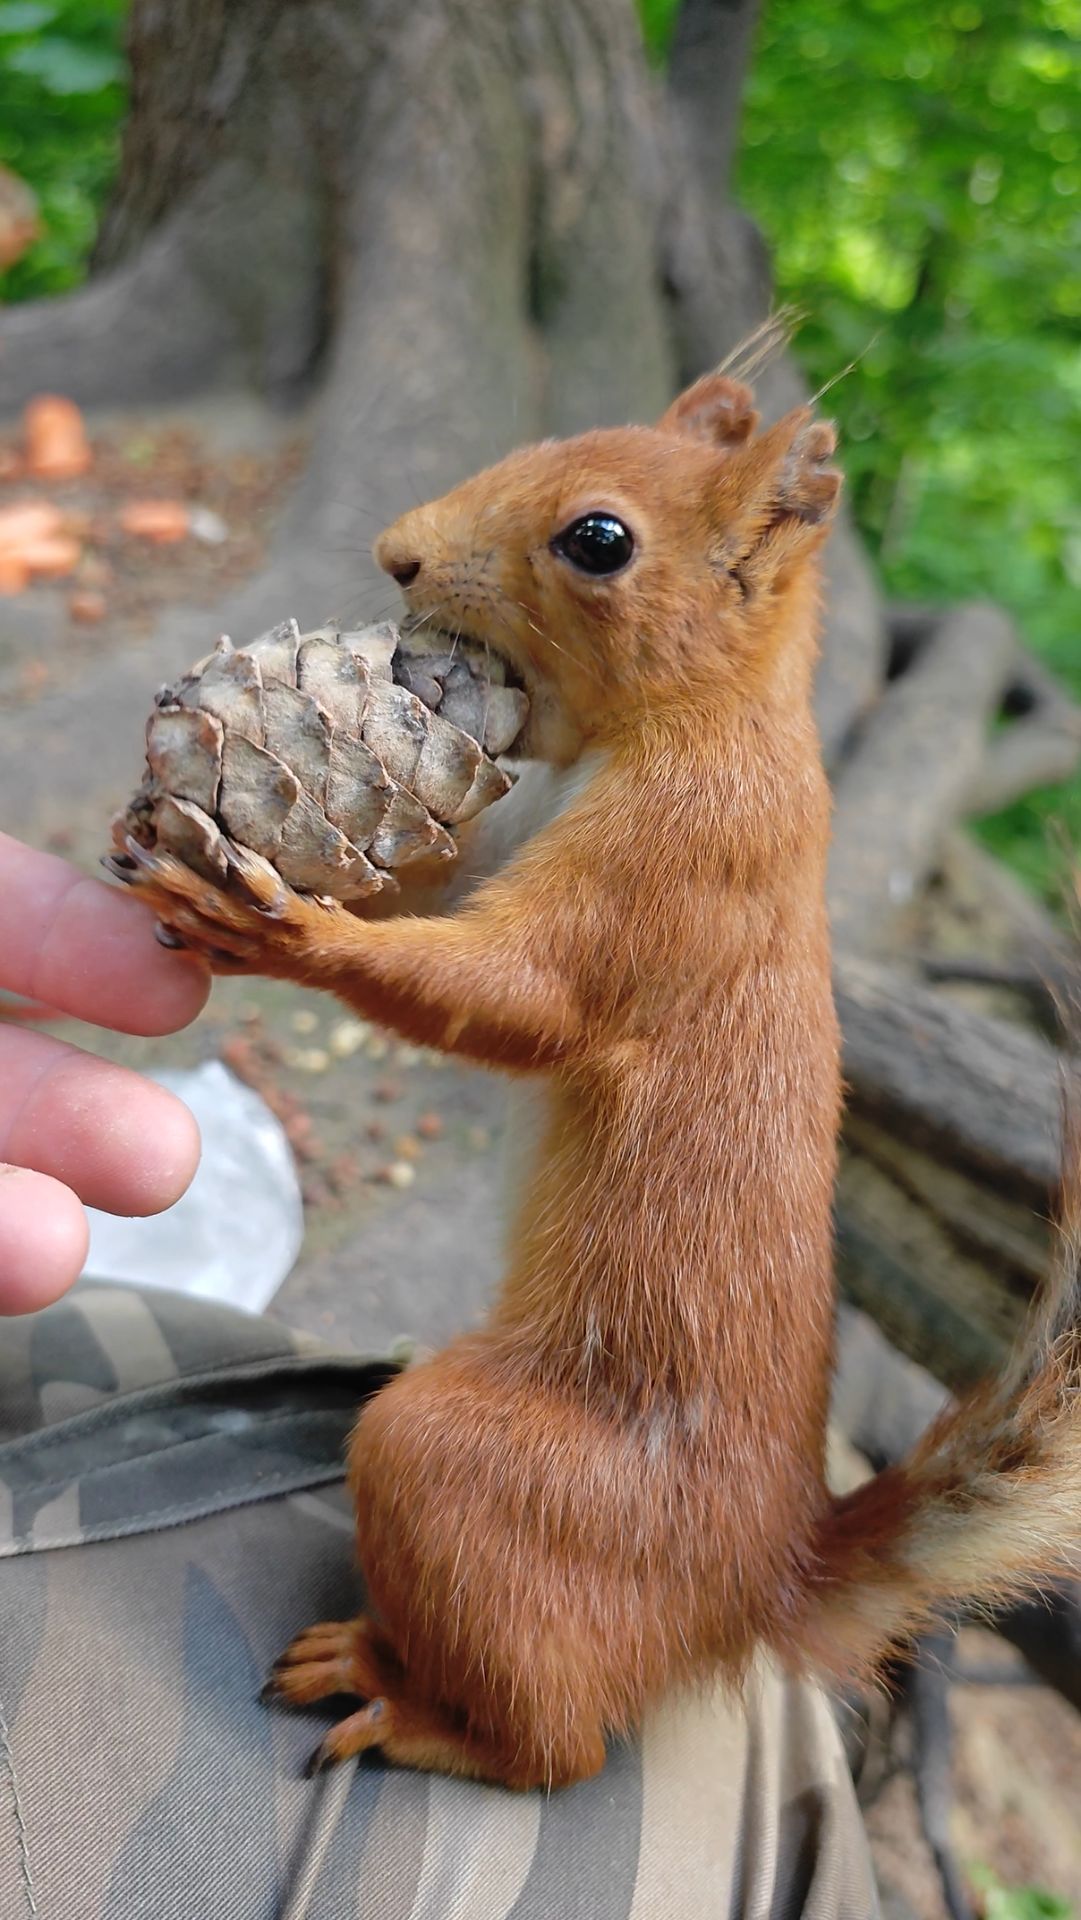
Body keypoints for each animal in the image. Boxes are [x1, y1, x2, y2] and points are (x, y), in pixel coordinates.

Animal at [123, 371, 1081, 1791]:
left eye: (598, 540)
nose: (395, 554)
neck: (711, 721)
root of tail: (757, 1586)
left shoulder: (669, 871)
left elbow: (518, 994)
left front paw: (287, 929)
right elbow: (437, 895)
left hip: (463, 1468)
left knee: (553, 1749)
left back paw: (394, 1694)